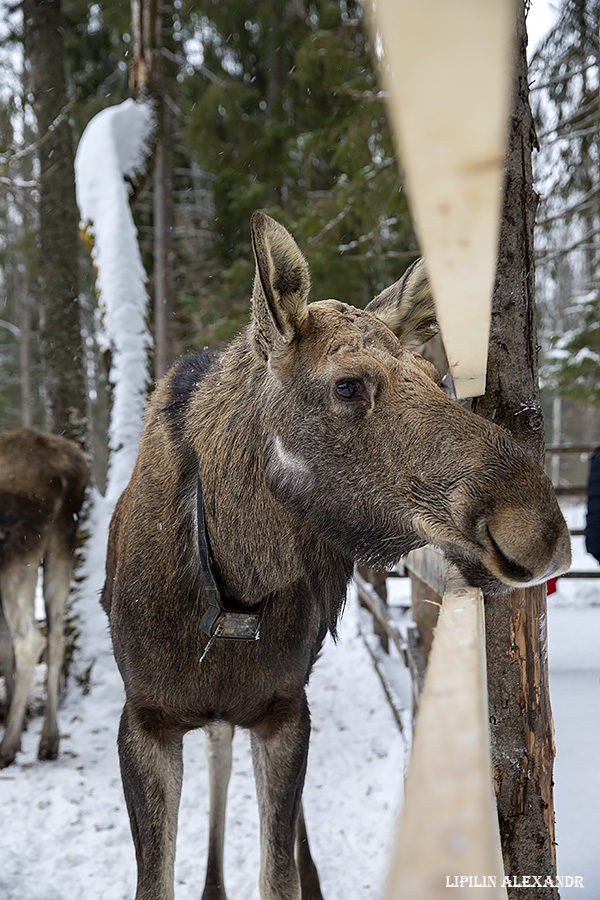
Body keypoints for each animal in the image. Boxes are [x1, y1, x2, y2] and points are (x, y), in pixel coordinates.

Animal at [0, 428, 89, 768]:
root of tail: (68, 473)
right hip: (62, 543)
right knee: (56, 637)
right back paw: (49, 740)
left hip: (17, 553)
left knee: (29, 641)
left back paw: (8, 745)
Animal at [104, 213, 572, 900]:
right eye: (347, 385)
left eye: (436, 378)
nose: (540, 531)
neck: (230, 592)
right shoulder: (144, 718)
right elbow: (154, 882)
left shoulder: (284, 710)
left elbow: (279, 876)